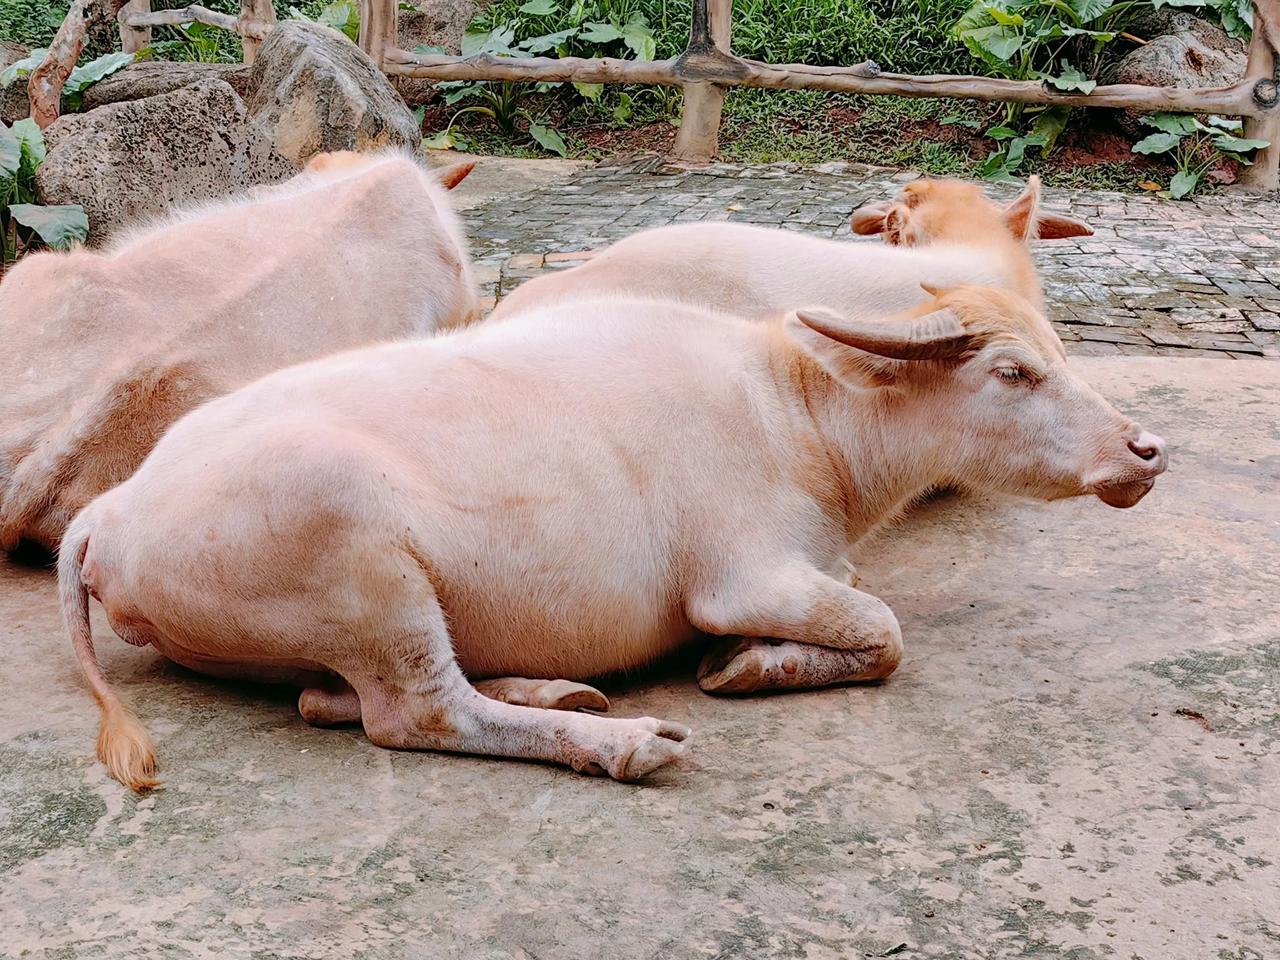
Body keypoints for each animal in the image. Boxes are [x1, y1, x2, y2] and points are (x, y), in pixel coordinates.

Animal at [60, 281, 1167, 793]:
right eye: (1013, 372)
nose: (1143, 449)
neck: (801, 417)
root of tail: (108, 515)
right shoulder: (745, 577)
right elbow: (885, 632)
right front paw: (744, 667)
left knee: (326, 699)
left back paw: (556, 690)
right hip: (364, 568)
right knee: (412, 713)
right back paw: (624, 739)